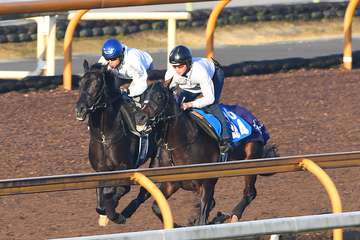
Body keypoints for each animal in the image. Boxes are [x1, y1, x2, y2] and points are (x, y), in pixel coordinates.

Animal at [75, 60, 160, 225]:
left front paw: (115, 215)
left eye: (96, 84)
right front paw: (104, 214)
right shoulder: (101, 170)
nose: (80, 109)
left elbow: (119, 190)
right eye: (81, 83)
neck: (105, 137)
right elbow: (100, 199)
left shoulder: (125, 168)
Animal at [134, 81, 278, 226]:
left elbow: (203, 216)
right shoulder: (171, 183)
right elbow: (157, 207)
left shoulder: (207, 181)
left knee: (250, 193)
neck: (183, 144)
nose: (140, 117)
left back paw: (233, 216)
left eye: (159, 97)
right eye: (141, 98)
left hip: (251, 157)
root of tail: (256, 121)